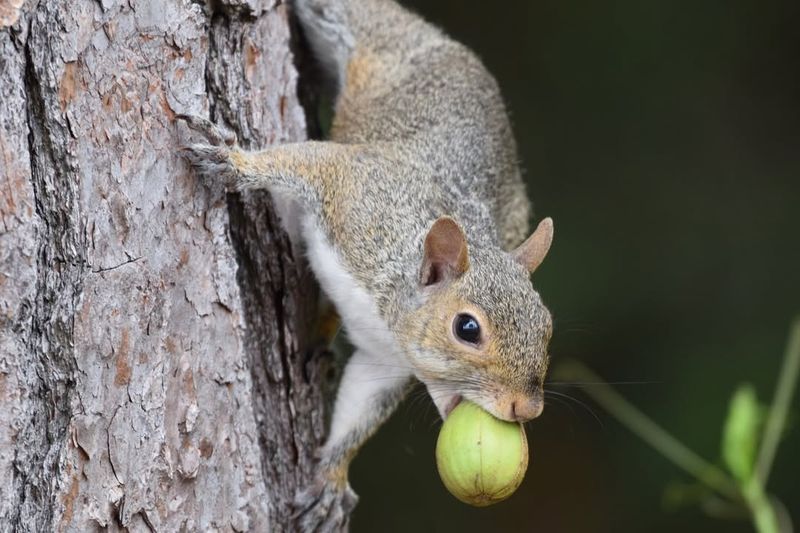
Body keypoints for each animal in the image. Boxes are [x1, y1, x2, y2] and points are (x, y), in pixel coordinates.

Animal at [179, 0, 554, 530]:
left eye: (547, 326)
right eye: (467, 328)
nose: (526, 408)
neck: (389, 303)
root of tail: (435, 41)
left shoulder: (385, 360)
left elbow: (360, 409)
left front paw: (332, 481)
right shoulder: (353, 191)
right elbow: (303, 161)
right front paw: (234, 162)